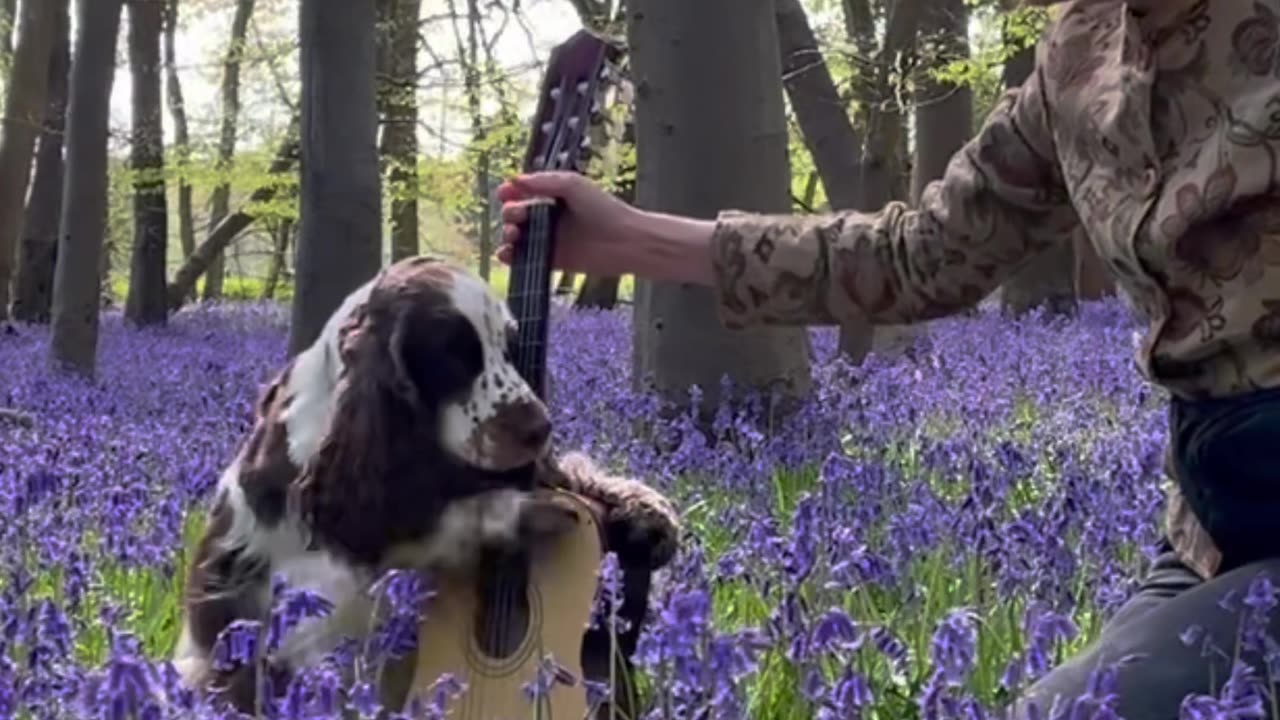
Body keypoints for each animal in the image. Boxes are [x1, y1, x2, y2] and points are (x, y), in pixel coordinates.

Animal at [177, 254, 691, 707]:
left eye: (510, 349)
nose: (540, 427)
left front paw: (644, 510)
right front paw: (524, 511)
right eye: (453, 354)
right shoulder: (313, 621)